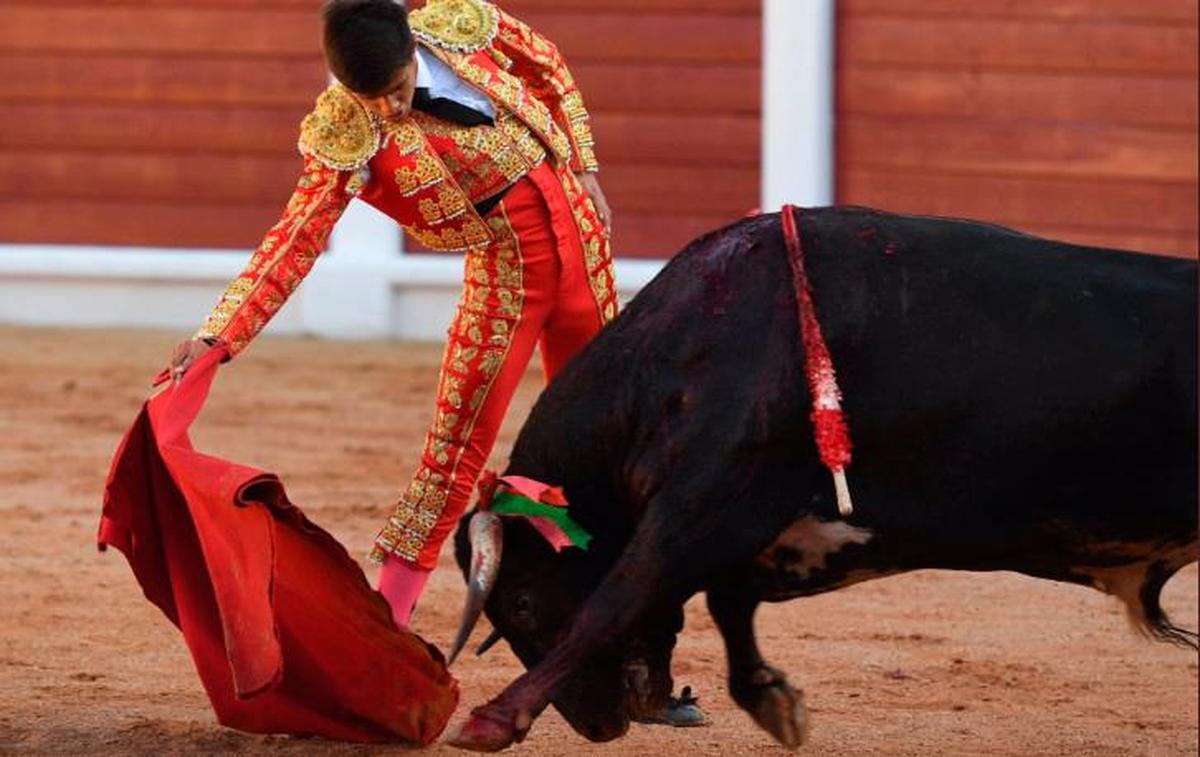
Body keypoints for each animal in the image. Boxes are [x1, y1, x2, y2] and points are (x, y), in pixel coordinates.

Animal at [446, 206, 1195, 753]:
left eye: (519, 604)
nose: (600, 724)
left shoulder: (705, 503)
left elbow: (614, 600)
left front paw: (489, 719)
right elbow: (722, 603)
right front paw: (773, 701)